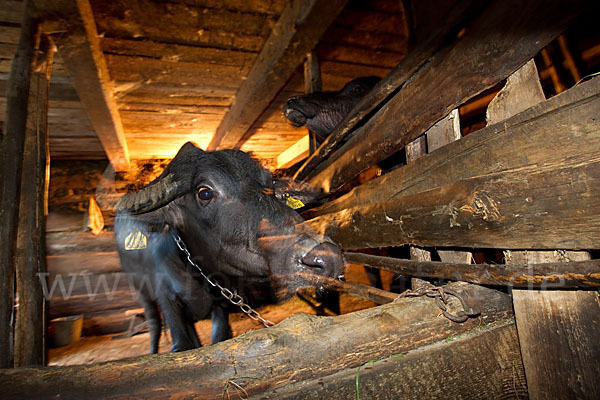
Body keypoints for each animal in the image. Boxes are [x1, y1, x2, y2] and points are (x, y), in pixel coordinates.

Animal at [115, 141, 344, 354]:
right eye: (204, 193)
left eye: (270, 185)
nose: (329, 258)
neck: (194, 275)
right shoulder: (167, 300)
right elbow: (181, 345)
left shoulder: (220, 306)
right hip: (142, 294)